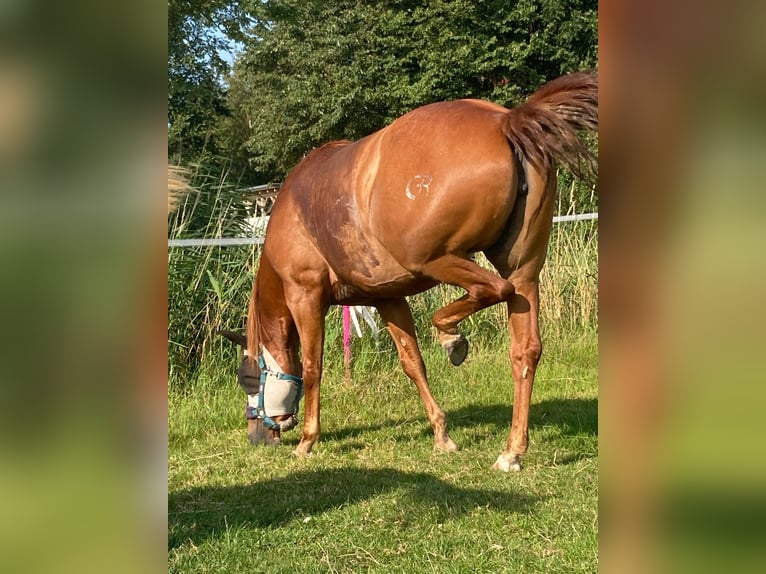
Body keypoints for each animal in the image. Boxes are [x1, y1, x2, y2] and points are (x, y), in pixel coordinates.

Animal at [230, 71, 597, 471]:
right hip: (523, 271)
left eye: (248, 379)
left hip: (439, 259)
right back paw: (511, 451)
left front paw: (308, 441)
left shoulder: (305, 294)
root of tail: (506, 122)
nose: (257, 437)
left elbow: (312, 366)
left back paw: (452, 338)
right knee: (525, 349)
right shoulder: (388, 298)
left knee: (493, 290)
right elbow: (412, 363)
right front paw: (441, 435)